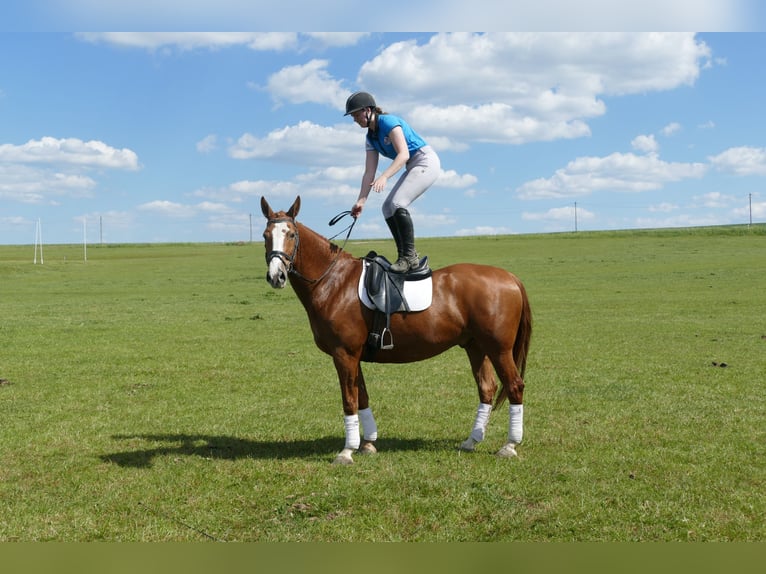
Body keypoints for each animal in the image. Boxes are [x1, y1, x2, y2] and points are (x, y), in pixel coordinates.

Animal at [260, 196, 532, 465]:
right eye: (265, 235)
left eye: (291, 234)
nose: (277, 276)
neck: (334, 282)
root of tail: (510, 277)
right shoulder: (354, 356)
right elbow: (362, 397)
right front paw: (367, 443)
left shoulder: (344, 354)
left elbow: (349, 400)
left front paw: (347, 451)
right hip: (476, 347)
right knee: (487, 388)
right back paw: (471, 441)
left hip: (499, 350)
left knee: (514, 385)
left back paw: (510, 445)